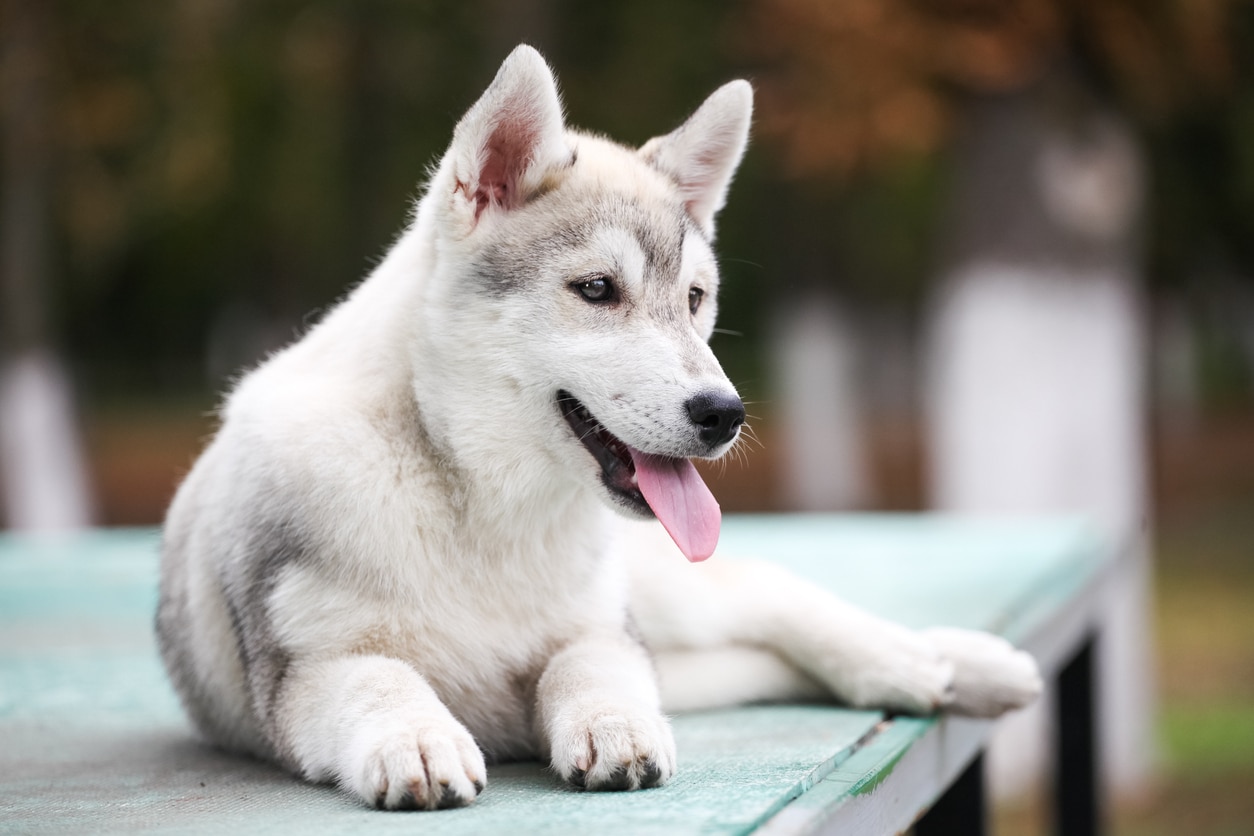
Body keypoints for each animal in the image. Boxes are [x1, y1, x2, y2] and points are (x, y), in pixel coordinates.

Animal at [154, 44, 1038, 812]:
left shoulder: (602, 632)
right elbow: (386, 679)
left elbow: (589, 672)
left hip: (664, 597)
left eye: (694, 299)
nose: (725, 415)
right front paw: (418, 740)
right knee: (755, 649)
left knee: (768, 594)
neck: (475, 499)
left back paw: (939, 660)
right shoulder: (307, 672)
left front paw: (612, 726)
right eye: (597, 289)